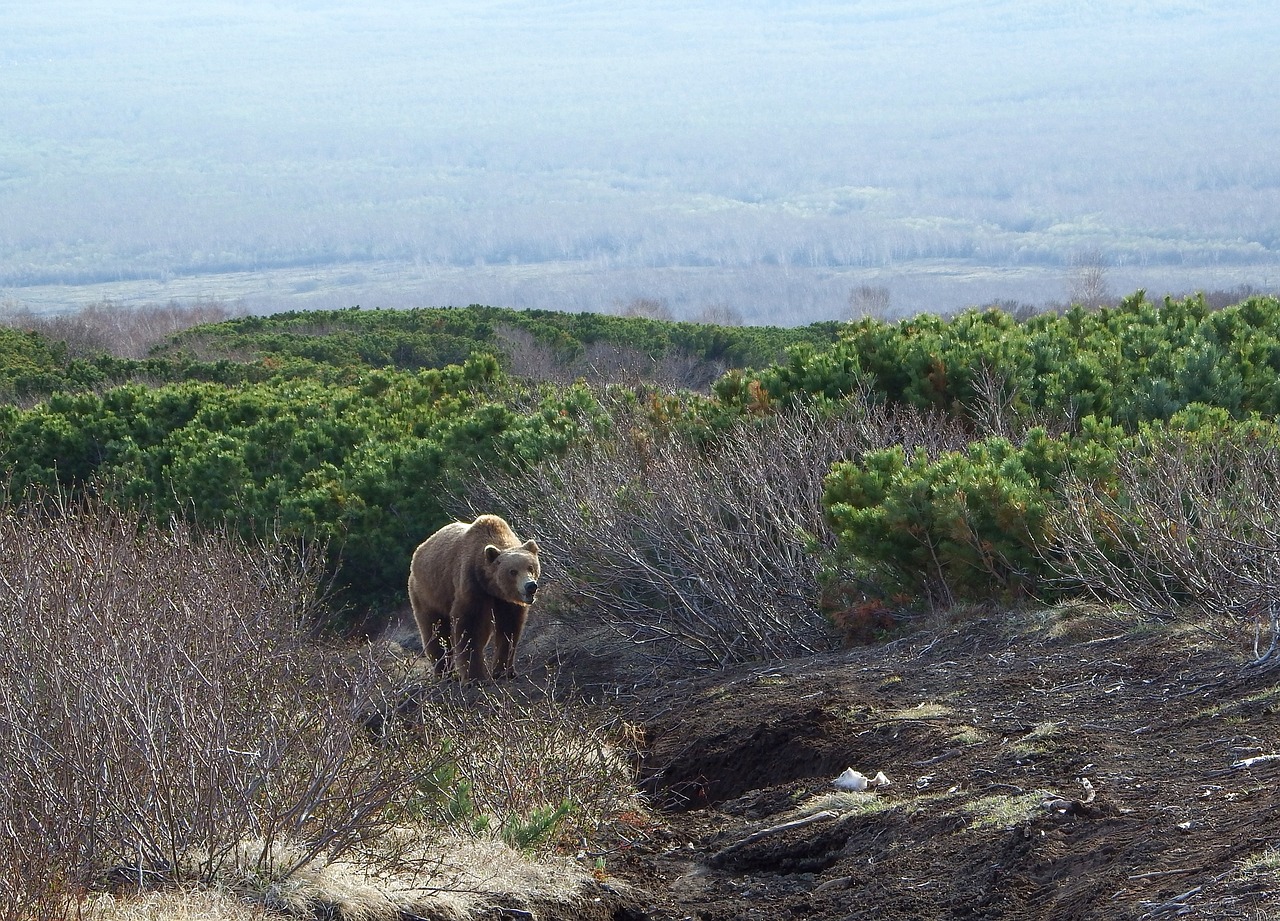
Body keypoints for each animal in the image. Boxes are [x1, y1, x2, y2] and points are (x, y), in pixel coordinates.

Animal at [409, 514, 540, 680]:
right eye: (513, 571)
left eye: (531, 567)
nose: (530, 586)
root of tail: (418, 551)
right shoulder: (472, 586)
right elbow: (468, 628)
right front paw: (476, 678)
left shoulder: (506, 601)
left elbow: (509, 628)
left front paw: (504, 671)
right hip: (429, 593)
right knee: (435, 631)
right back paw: (444, 673)